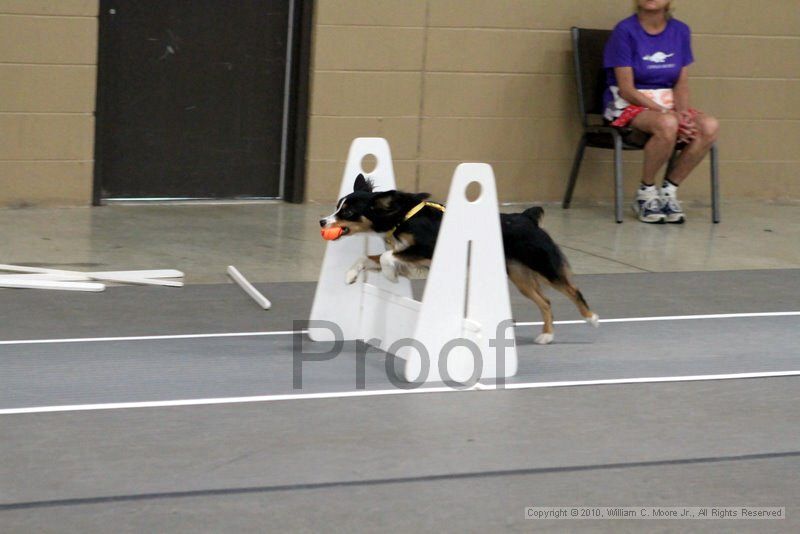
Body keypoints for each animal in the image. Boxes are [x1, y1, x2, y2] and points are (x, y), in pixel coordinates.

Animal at [320, 174, 600, 346]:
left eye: (347, 212)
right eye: (337, 207)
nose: (323, 222)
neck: (403, 217)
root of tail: (525, 217)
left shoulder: (426, 248)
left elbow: (388, 256)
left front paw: (390, 275)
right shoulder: (415, 258)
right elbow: (368, 257)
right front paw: (351, 275)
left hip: (544, 264)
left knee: (572, 290)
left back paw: (591, 318)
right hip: (519, 276)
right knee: (546, 301)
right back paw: (547, 336)